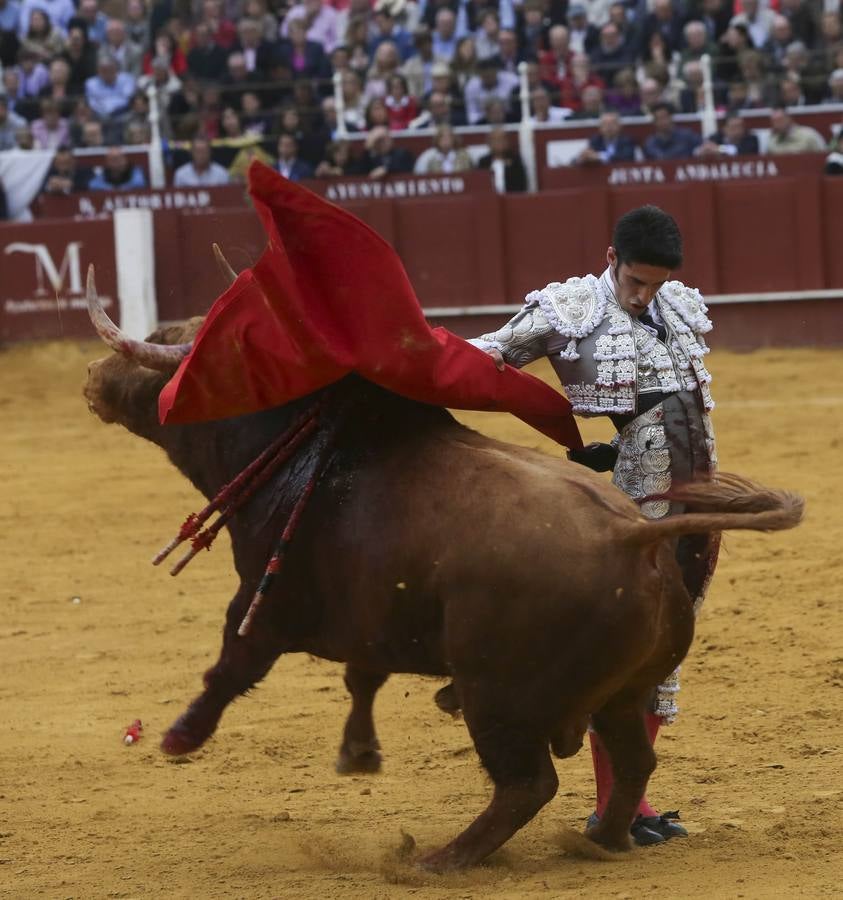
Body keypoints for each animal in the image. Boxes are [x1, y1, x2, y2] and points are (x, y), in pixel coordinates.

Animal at [85, 278, 804, 868]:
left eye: (158, 347)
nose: (92, 375)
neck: (310, 450)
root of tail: (634, 533)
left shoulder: (263, 602)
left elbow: (230, 666)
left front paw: (180, 736)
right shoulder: (372, 615)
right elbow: (361, 677)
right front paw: (358, 753)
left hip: (497, 690)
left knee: (527, 782)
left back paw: (439, 859)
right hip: (620, 691)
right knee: (632, 758)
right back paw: (601, 839)